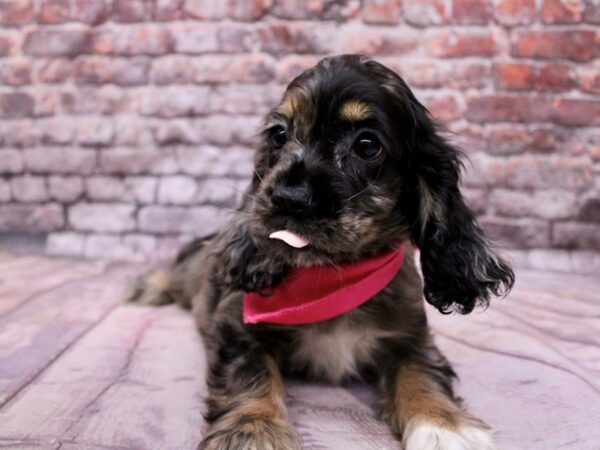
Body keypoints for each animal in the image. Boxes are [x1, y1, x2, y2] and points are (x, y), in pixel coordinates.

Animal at [126, 54, 510, 448]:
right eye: (278, 135)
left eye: (367, 145)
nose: (289, 198)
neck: (331, 277)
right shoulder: (237, 328)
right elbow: (250, 374)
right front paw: (252, 429)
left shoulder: (411, 336)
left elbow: (421, 371)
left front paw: (444, 424)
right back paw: (150, 286)